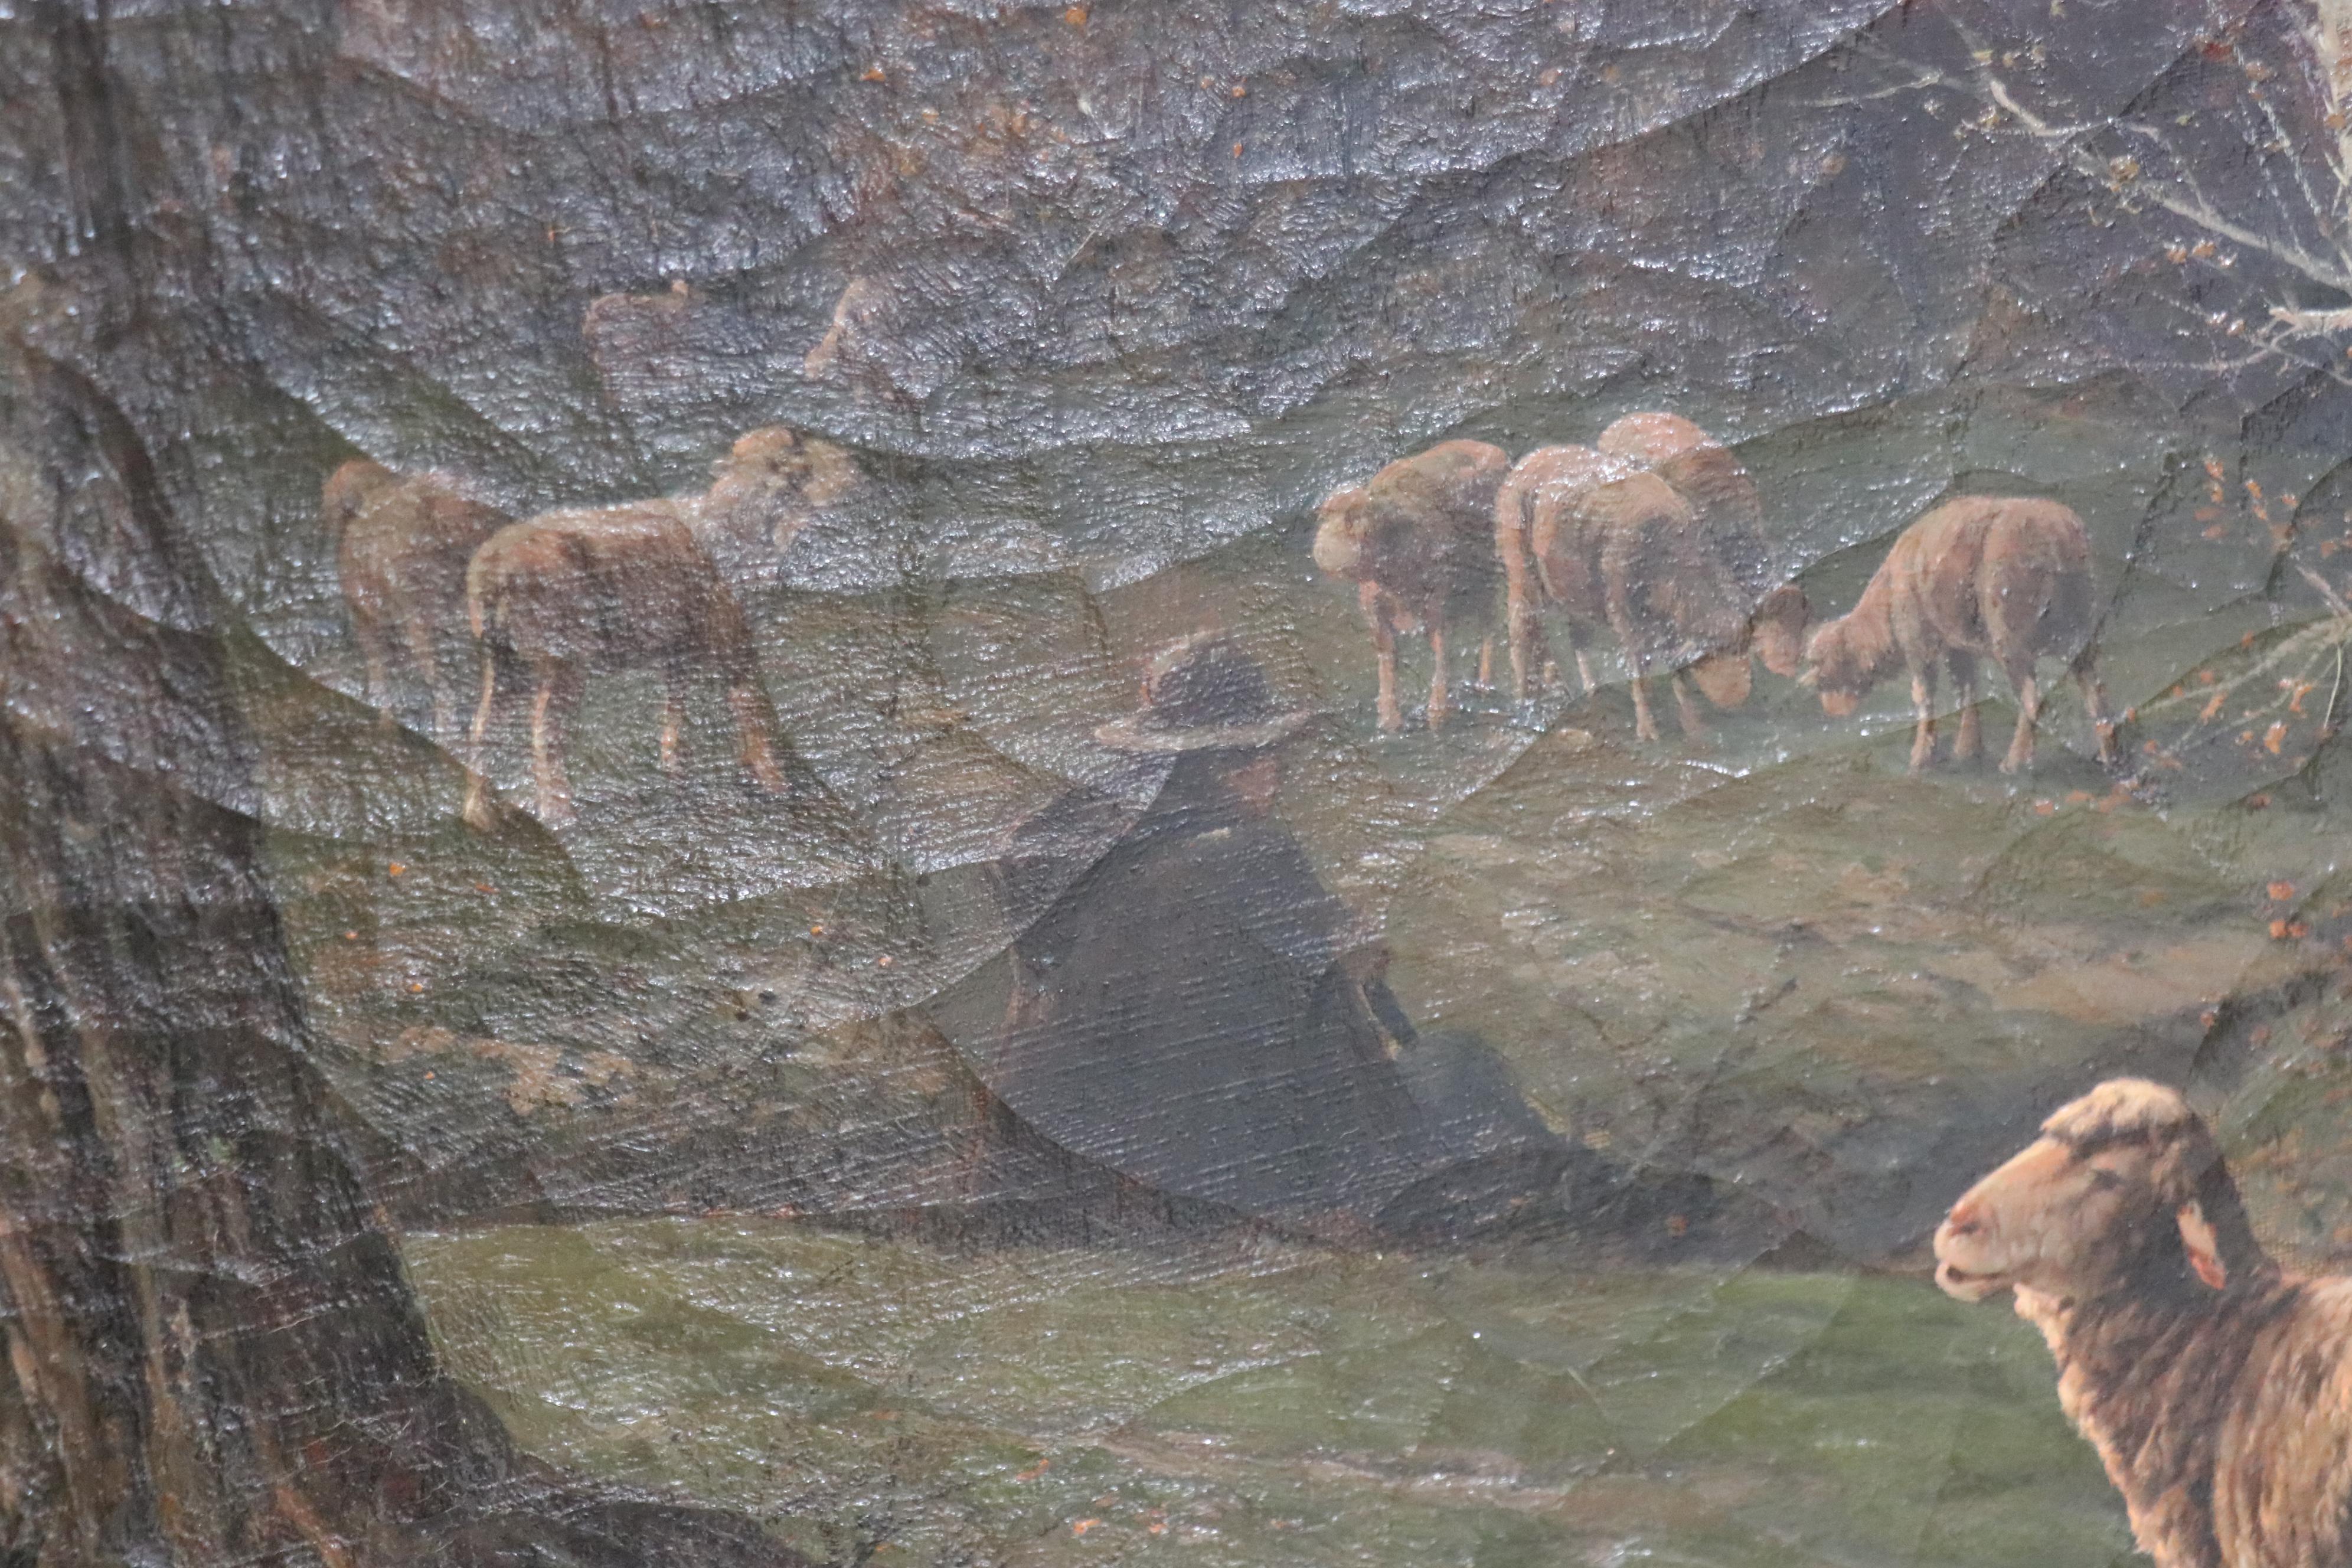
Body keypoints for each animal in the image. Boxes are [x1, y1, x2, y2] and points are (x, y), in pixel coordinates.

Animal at [460, 498, 790, 830]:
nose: (784, 787)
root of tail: (492, 576)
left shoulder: (676, 651)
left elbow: (675, 711)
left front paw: (674, 765)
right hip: (562, 654)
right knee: (543, 728)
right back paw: (559, 814)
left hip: (501, 658)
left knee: (482, 724)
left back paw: (480, 813)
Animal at [1313, 439, 1511, 732]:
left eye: (1352, 520)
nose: (1323, 548)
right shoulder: (1377, 611)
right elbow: (1388, 660)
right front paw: (1389, 721)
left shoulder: (1437, 602)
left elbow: (1441, 651)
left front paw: (1437, 715)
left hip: (1486, 577)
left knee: (1489, 625)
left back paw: (1484, 686)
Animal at [1494, 444, 1756, 741]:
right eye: (1710, 654)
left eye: (1745, 648)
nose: (1737, 701)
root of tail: (1528, 460)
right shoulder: (1624, 612)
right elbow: (1640, 669)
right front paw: (1649, 732)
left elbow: (1675, 670)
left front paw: (1694, 726)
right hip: (1521, 570)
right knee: (1522, 631)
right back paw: (1525, 703)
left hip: (1573, 590)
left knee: (1573, 638)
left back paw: (1590, 693)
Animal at [1799, 495, 2118, 775]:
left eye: (1821, 665)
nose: (1829, 710)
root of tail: (2058, 536)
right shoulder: (1958, 647)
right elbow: (1966, 692)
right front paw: (1967, 750)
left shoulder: (1920, 645)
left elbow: (1926, 699)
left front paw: (1921, 759)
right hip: (2081, 634)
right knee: (2097, 694)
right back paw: (2109, 758)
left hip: (2011, 639)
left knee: (2030, 696)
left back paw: (2014, 764)